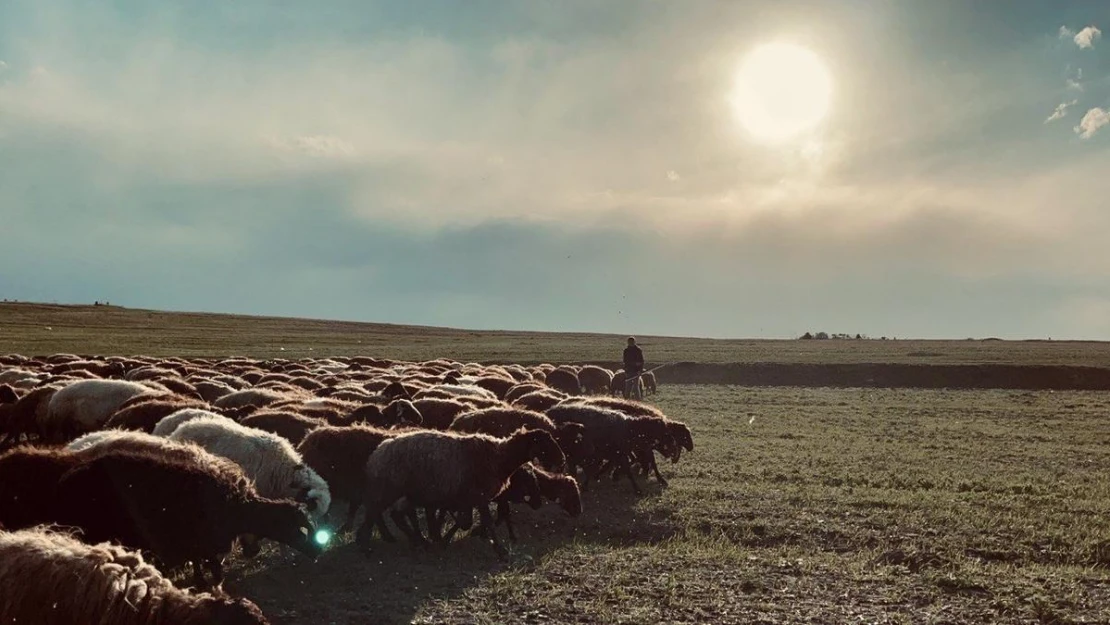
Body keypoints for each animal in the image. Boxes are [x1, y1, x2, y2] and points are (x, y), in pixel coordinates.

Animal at [355, 428, 563, 555]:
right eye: (545, 443)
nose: (562, 459)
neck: (499, 457)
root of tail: (377, 453)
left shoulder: (466, 498)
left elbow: (465, 521)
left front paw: (444, 538)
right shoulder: (478, 496)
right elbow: (485, 521)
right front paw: (500, 550)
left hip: (408, 492)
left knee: (393, 514)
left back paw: (417, 541)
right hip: (389, 488)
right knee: (374, 512)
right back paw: (365, 544)